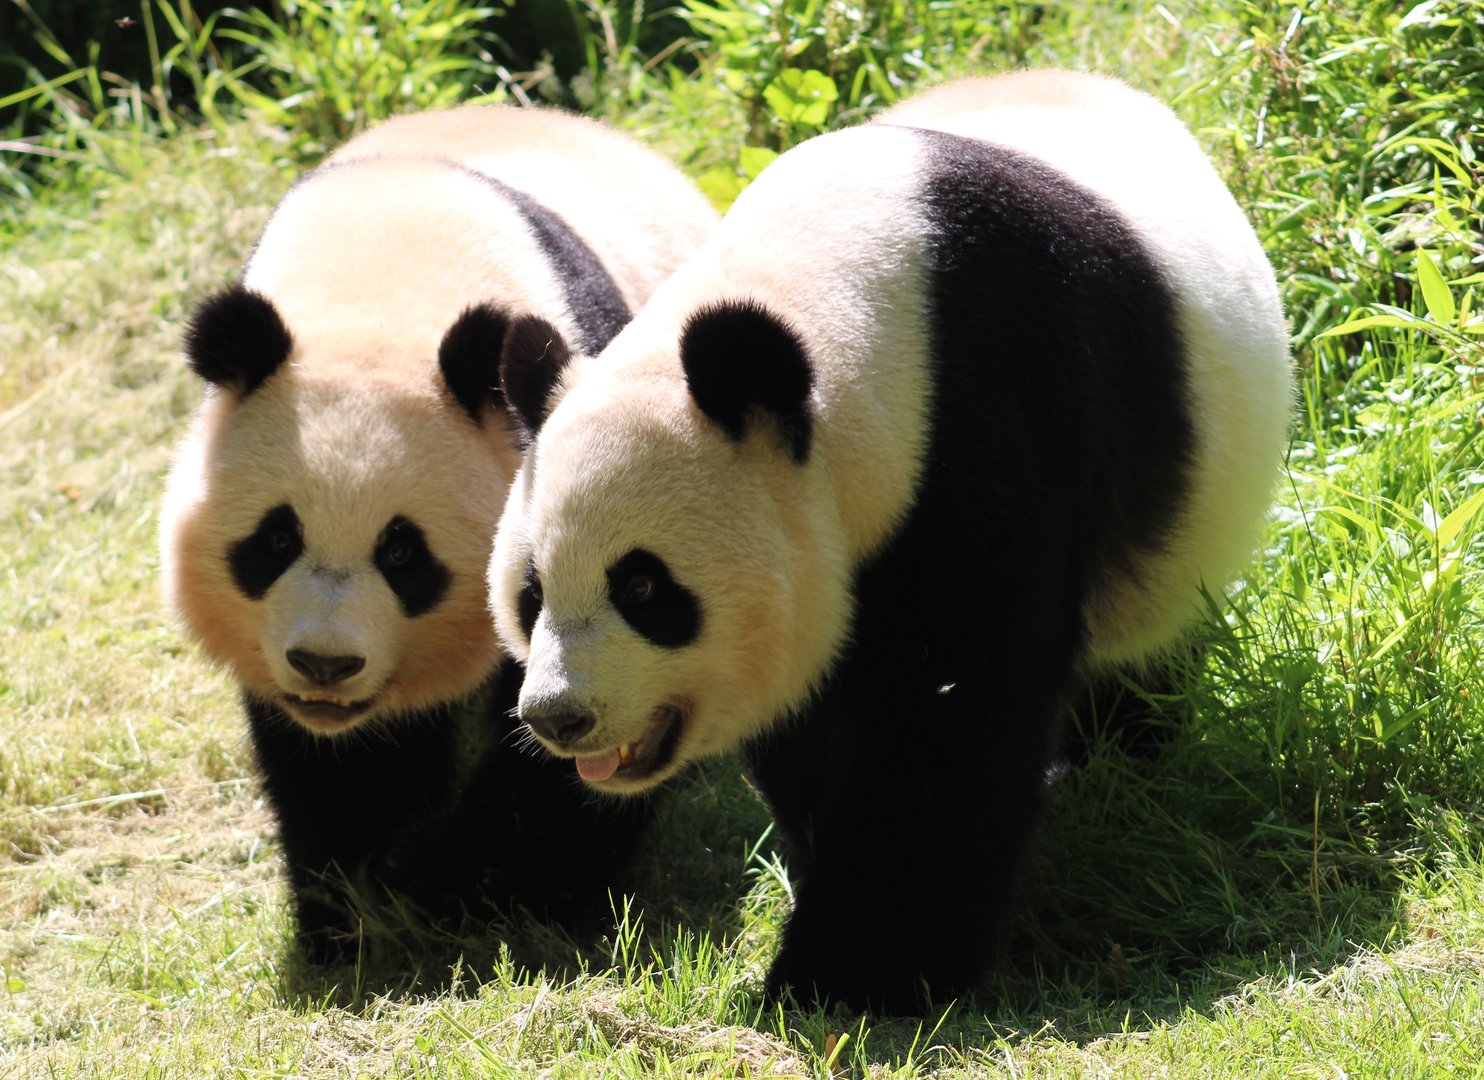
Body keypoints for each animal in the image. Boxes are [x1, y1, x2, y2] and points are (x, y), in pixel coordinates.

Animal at [160, 104, 717, 961]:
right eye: (275, 542)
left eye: (402, 552)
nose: (325, 665)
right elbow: (330, 766)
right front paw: (344, 910)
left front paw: (466, 889)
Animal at [486, 70, 1293, 1011]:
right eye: (531, 594)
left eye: (644, 588)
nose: (557, 715)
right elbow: (809, 725)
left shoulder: (989, 434)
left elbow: (952, 721)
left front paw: (855, 972)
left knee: (1143, 651)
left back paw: (1120, 758)